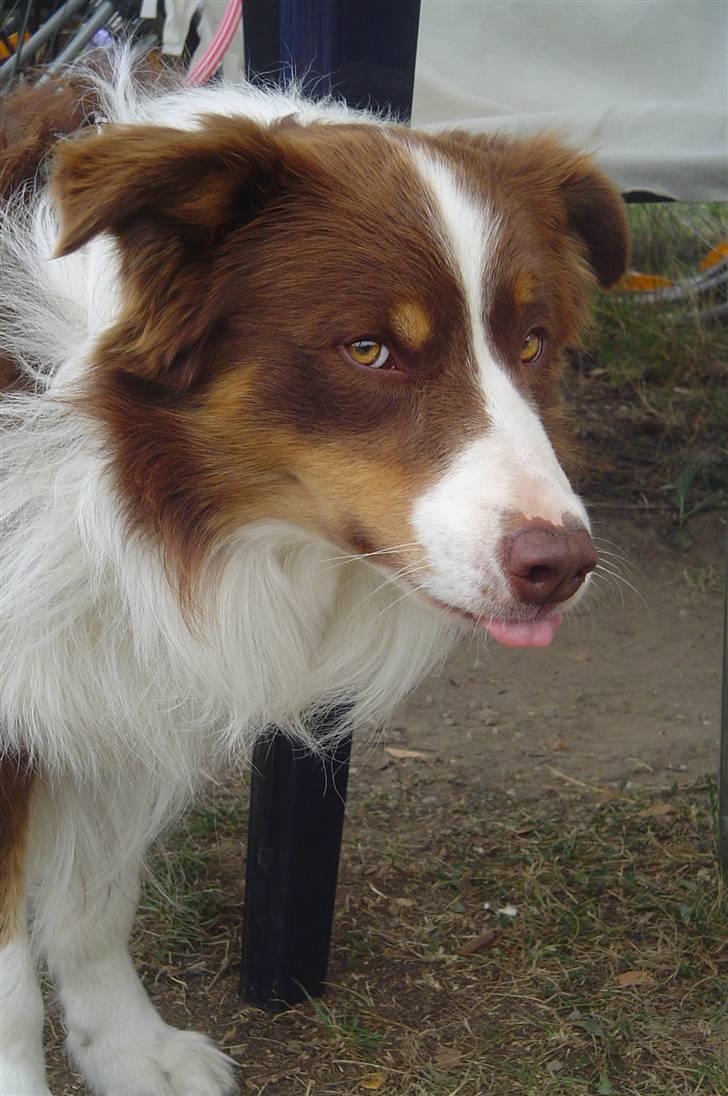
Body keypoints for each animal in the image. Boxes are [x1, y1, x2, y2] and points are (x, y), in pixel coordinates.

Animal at [0, 53, 627, 1096]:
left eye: (531, 341)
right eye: (369, 350)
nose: (563, 567)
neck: (113, 470)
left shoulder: (105, 676)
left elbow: (97, 896)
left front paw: (129, 1052)